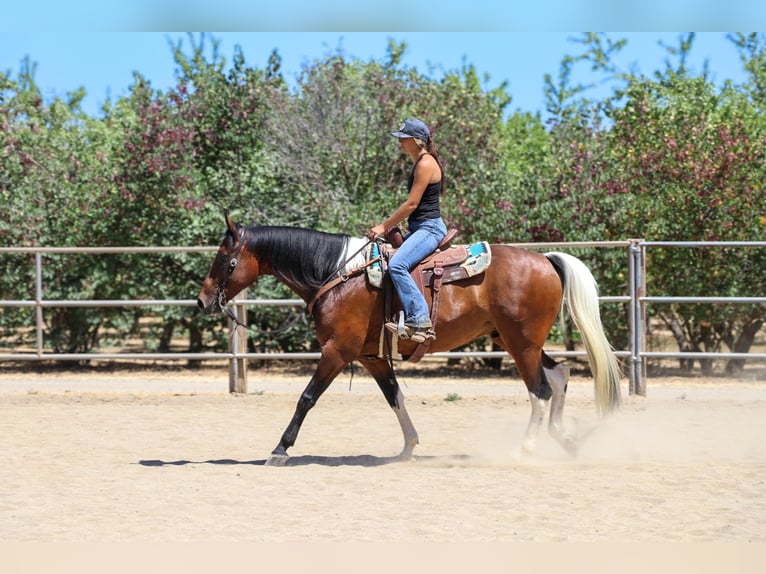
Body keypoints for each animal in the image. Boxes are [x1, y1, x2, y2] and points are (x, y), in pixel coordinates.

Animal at [198, 212, 624, 468]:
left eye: (225, 259)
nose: (202, 300)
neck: (337, 274)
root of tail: (546, 261)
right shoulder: (371, 357)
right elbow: (395, 397)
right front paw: (409, 447)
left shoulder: (337, 351)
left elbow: (306, 398)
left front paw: (280, 449)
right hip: (516, 341)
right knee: (560, 375)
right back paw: (565, 439)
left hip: (520, 345)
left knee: (541, 390)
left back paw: (527, 449)